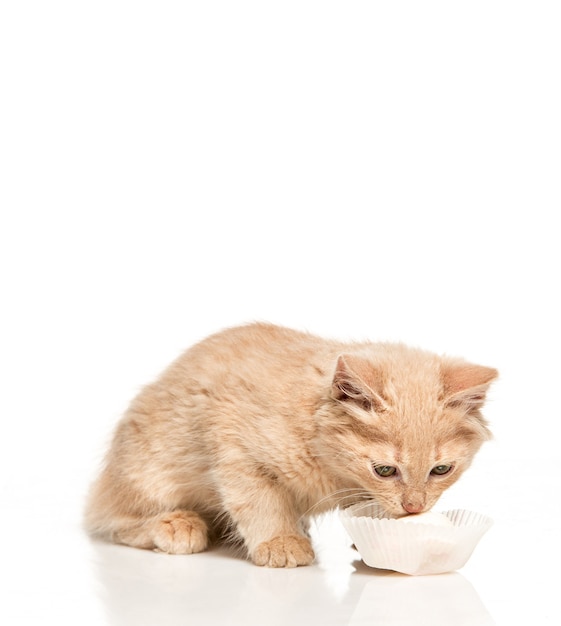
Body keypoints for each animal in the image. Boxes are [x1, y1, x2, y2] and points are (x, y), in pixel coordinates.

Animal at [85, 322, 496, 564]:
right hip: (146, 471)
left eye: (441, 469)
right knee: (110, 518)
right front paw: (280, 542)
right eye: (384, 470)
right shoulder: (235, 449)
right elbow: (260, 503)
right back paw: (177, 525)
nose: (414, 507)